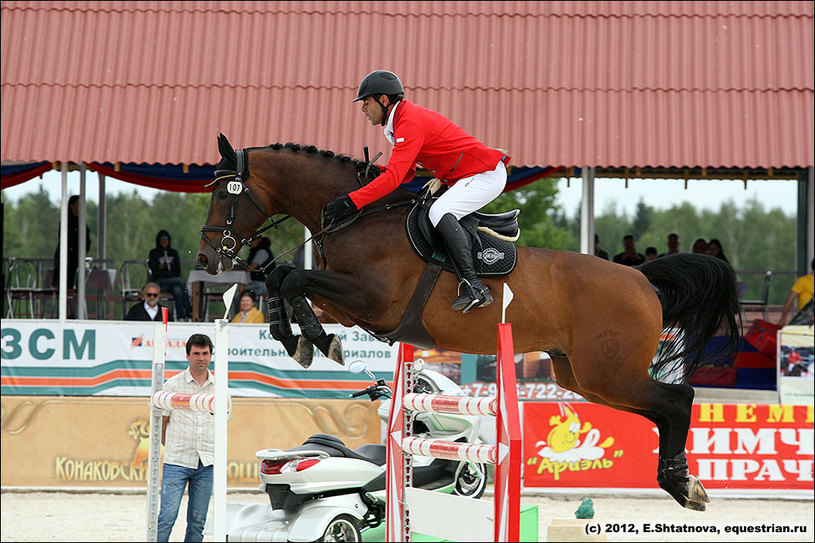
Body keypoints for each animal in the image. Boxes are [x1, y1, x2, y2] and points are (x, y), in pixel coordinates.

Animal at [198, 134, 740, 512]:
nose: (205, 258)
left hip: (610, 372)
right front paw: (301, 339)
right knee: (661, 410)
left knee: (677, 400)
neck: (358, 217)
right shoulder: (347, 304)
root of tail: (641, 278)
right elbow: (282, 279)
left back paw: (683, 484)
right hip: (585, 377)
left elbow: (291, 278)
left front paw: (313, 340)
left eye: (226, 195)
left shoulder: (369, 300)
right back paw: (682, 481)